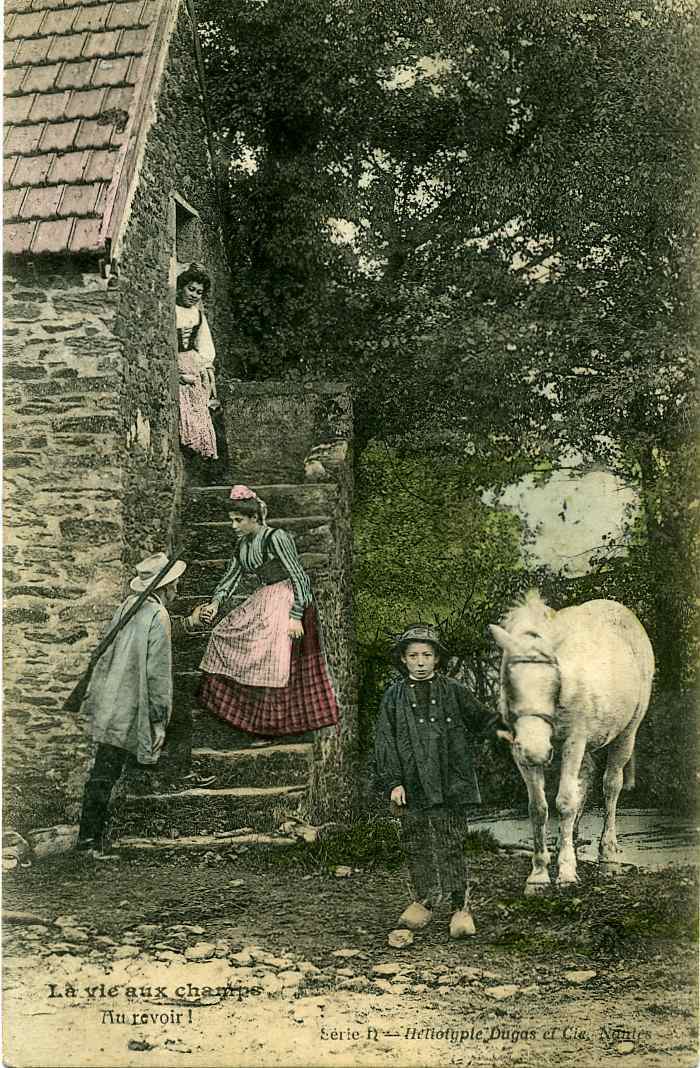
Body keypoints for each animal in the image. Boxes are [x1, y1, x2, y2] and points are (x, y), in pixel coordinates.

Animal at [489, 593, 654, 892]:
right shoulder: (519, 752)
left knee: (611, 785)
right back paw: (572, 836)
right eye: (510, 682)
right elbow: (538, 808)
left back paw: (607, 848)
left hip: (627, 733)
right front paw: (539, 874)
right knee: (585, 779)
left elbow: (565, 802)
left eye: (555, 682)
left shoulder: (573, 741)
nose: (536, 750)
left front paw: (566, 872)